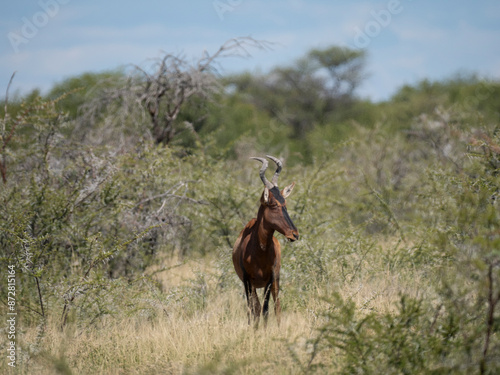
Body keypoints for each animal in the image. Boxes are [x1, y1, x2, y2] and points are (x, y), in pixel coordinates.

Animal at [232, 154, 298, 328]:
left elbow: (266, 309)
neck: (259, 251)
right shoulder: (247, 281)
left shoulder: (270, 279)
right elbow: (253, 310)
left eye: (285, 202)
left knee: (277, 305)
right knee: (255, 308)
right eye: (273, 203)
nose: (294, 234)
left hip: (276, 281)